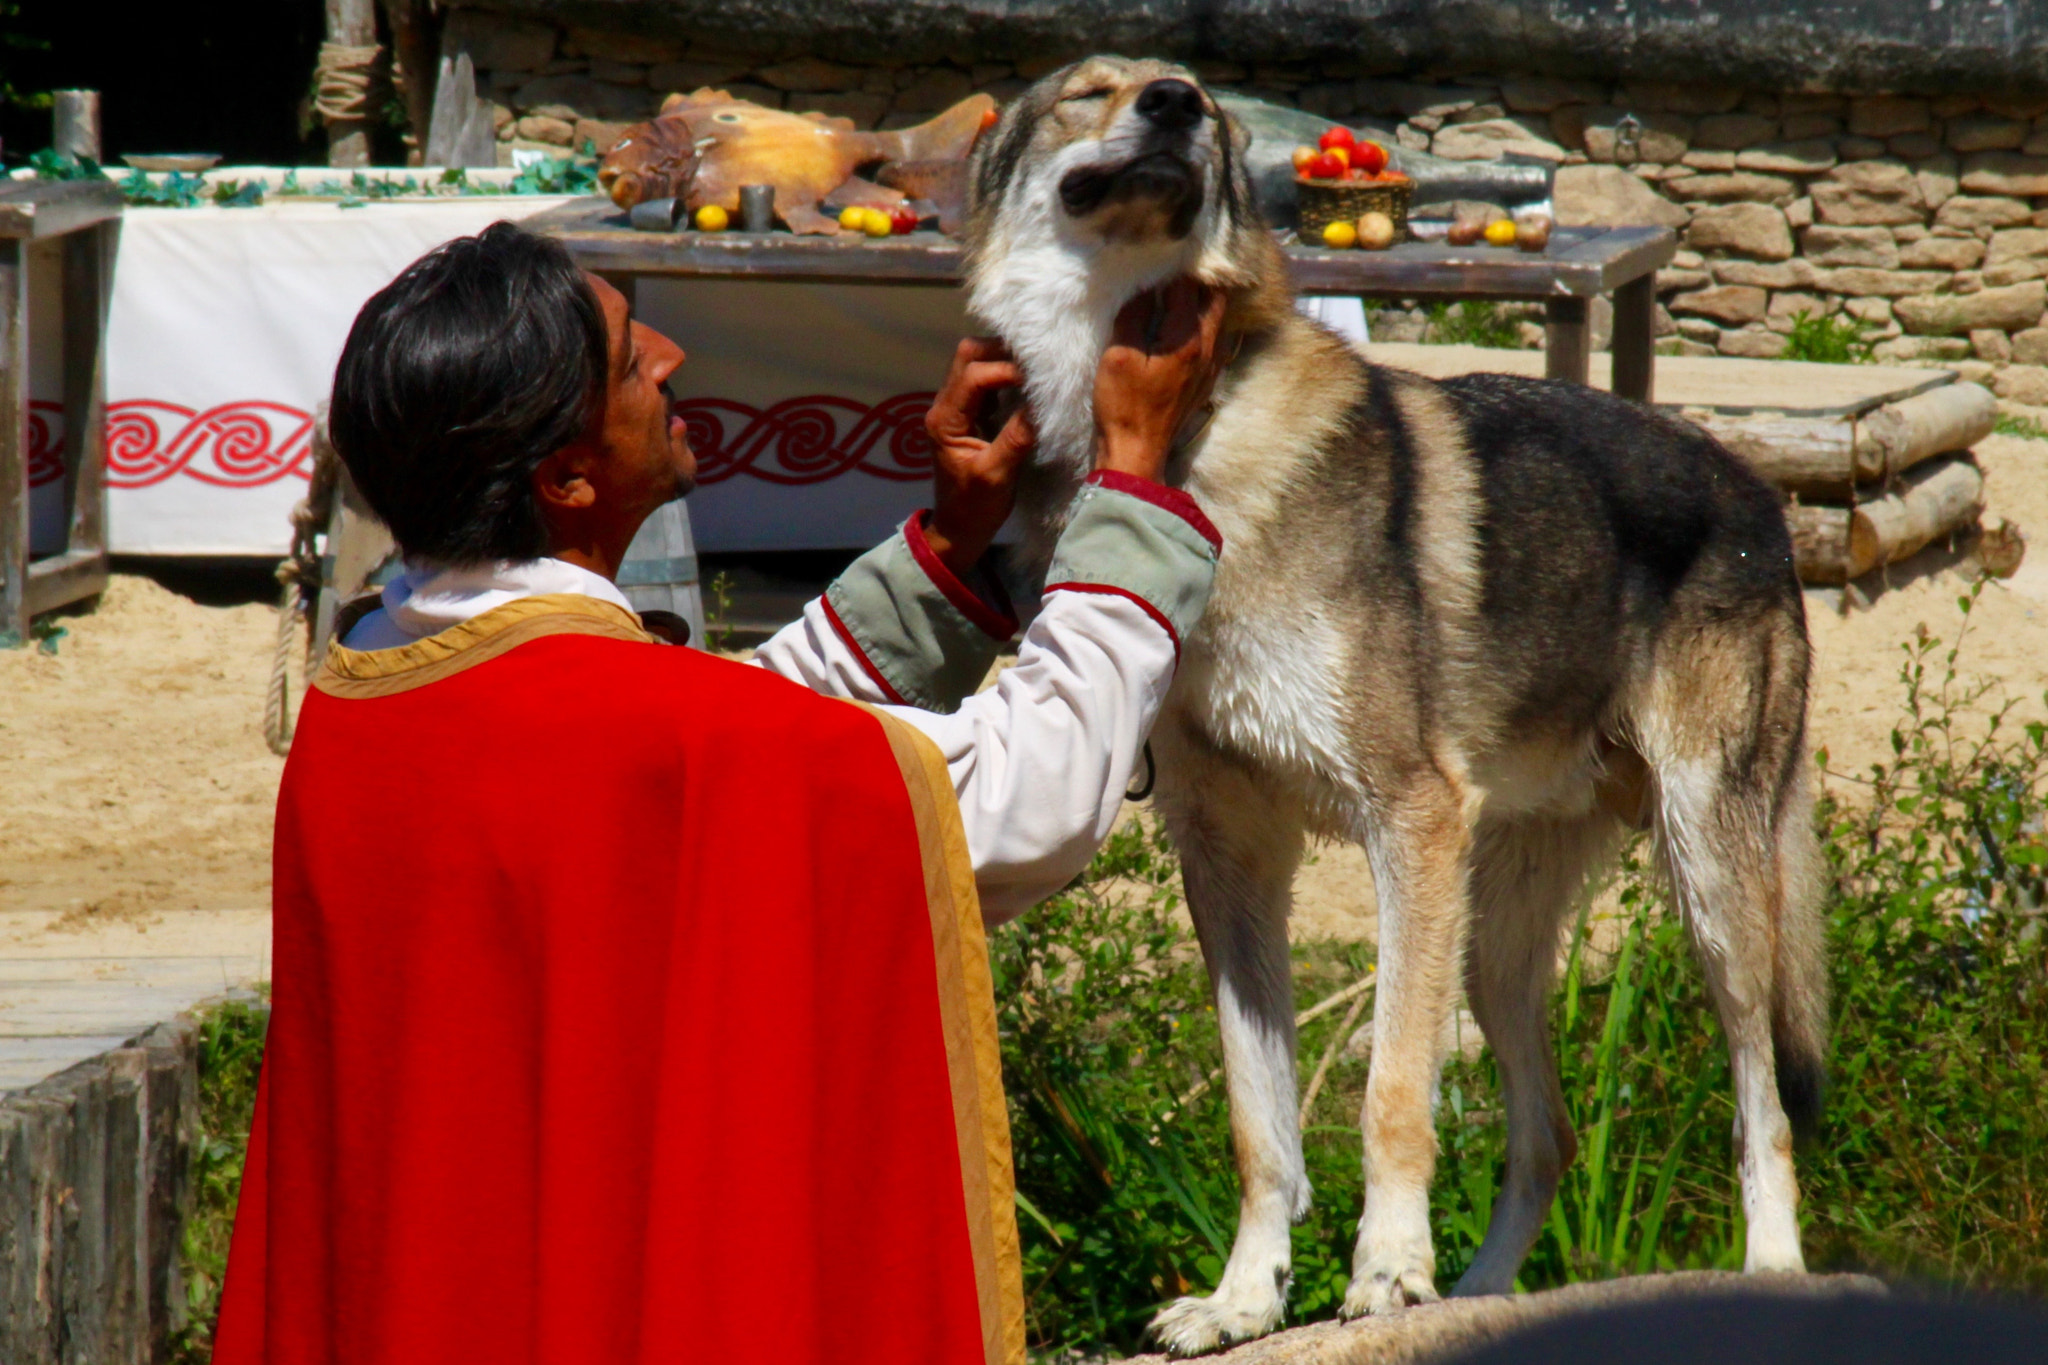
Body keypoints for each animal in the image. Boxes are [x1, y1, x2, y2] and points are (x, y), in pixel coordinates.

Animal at [966, 56, 1835, 1358]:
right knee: (1549, 1137)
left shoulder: (1404, 825)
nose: (1172, 103)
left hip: (1706, 892)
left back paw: (1768, 1273)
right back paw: (1480, 1297)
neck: (1184, 449)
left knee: (1760, 1102)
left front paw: (1382, 1273)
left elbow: (1387, 1094)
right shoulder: (1229, 862)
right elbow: (1260, 1123)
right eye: (1092, 91)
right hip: (1491, 940)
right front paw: (1243, 1301)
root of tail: (1760, 497)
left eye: (1198, 103)